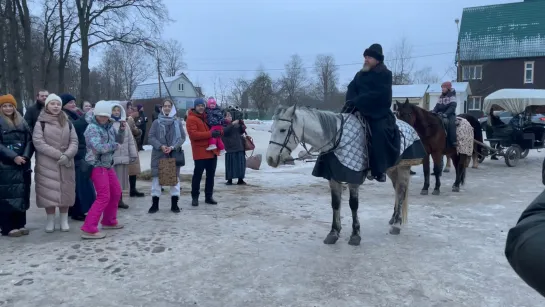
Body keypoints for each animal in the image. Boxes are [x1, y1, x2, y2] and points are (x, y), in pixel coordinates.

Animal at [266, 107, 424, 247]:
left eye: (282, 129)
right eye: (271, 129)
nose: (270, 159)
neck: (337, 140)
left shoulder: (353, 179)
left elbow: (353, 205)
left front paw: (355, 235)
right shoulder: (333, 178)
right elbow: (335, 204)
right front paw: (334, 232)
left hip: (403, 168)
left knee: (401, 192)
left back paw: (397, 224)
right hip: (392, 170)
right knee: (397, 191)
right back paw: (393, 218)